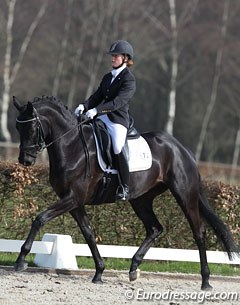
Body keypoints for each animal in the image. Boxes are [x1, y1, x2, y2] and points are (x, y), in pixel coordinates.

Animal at [13, 95, 240, 290]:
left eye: (32, 127)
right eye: (17, 127)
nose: (25, 160)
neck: (72, 147)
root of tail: (182, 149)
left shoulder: (73, 198)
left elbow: (40, 218)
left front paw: (21, 260)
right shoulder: (74, 202)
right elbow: (88, 233)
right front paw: (99, 272)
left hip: (184, 194)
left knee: (198, 232)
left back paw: (206, 281)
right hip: (140, 199)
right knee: (155, 228)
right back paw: (133, 268)